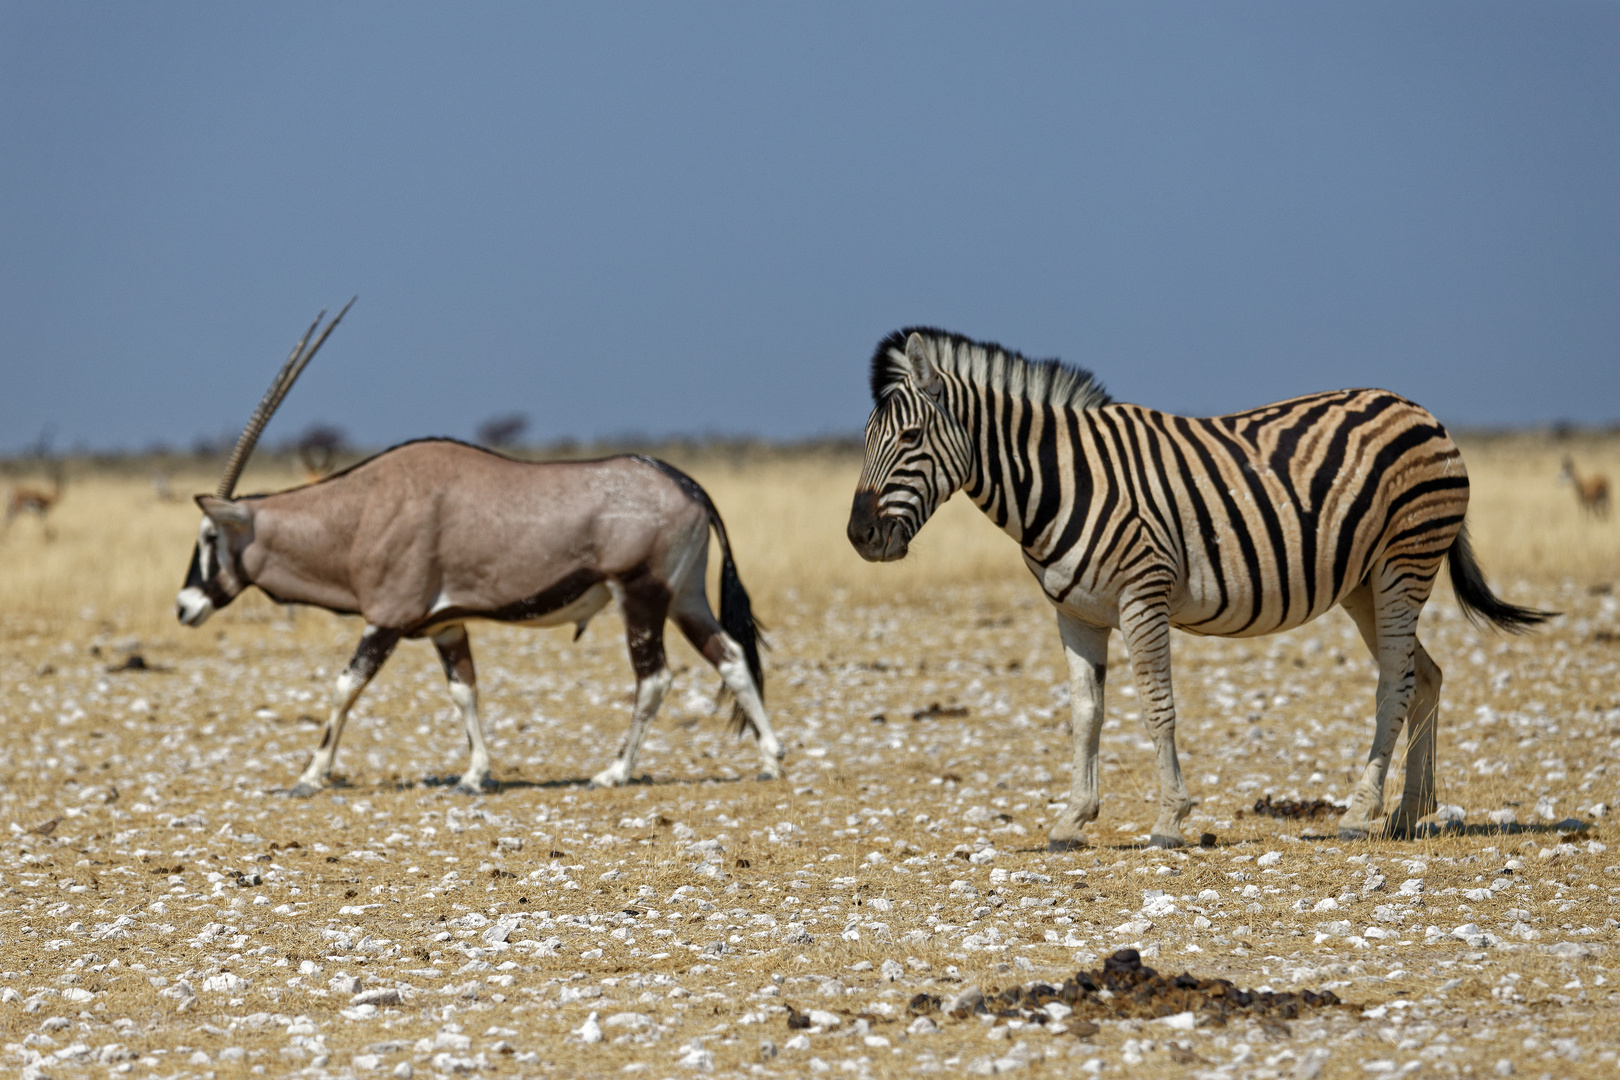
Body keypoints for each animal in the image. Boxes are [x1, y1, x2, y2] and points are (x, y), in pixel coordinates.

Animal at [177, 302, 784, 793]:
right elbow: (464, 690)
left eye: (209, 536)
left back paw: (615, 771)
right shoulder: (445, 625)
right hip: (684, 597)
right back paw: (771, 759)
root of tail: (687, 484)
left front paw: (310, 775)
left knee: (654, 678)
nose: (184, 607)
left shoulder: (387, 620)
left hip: (640, 595)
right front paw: (475, 774)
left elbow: (345, 686)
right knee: (731, 656)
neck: (360, 512)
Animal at [848, 325, 1555, 848]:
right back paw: (1410, 811)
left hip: (1403, 564)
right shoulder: (1075, 614)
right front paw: (1072, 820)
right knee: (1424, 673)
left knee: (1397, 683)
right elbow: (1085, 715)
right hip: (1363, 584)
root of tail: (1420, 410)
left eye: (910, 436)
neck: (1059, 481)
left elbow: (1156, 707)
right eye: (865, 440)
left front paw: (1169, 819)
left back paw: (1361, 813)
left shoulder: (1144, 595)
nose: (860, 536)